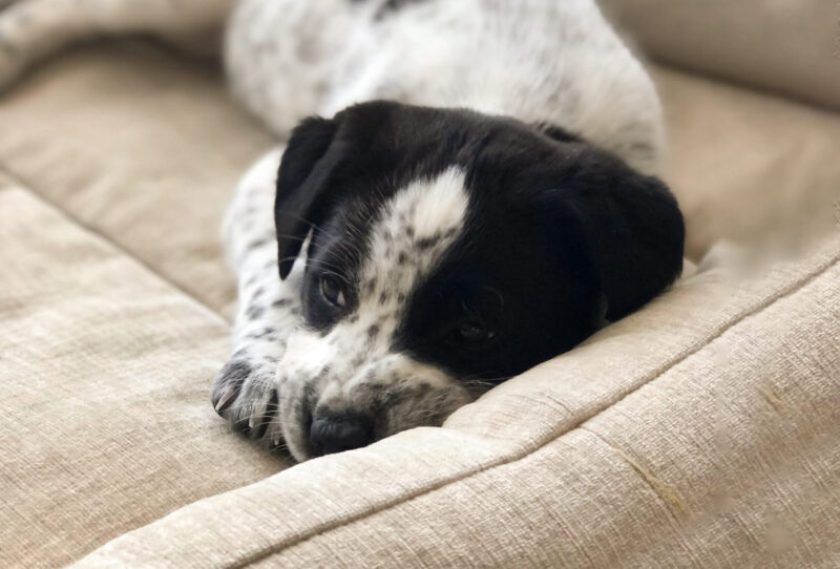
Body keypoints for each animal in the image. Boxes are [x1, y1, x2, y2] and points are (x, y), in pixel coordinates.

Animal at [0, 0, 684, 460]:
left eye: (475, 330)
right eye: (330, 289)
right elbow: (274, 274)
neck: (502, 94)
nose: (331, 433)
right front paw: (263, 370)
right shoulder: (263, 189)